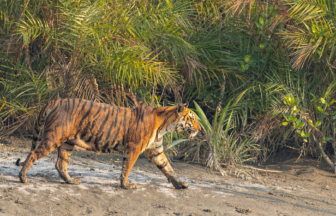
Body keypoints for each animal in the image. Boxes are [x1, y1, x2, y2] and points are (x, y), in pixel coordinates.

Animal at [15, 98, 201, 190]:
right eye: (192, 118)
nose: (200, 129)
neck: (165, 125)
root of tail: (55, 101)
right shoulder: (134, 147)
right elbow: (127, 167)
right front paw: (126, 185)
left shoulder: (156, 150)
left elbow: (168, 168)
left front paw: (180, 184)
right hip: (53, 137)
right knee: (33, 154)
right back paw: (22, 177)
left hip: (67, 143)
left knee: (60, 163)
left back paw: (71, 181)